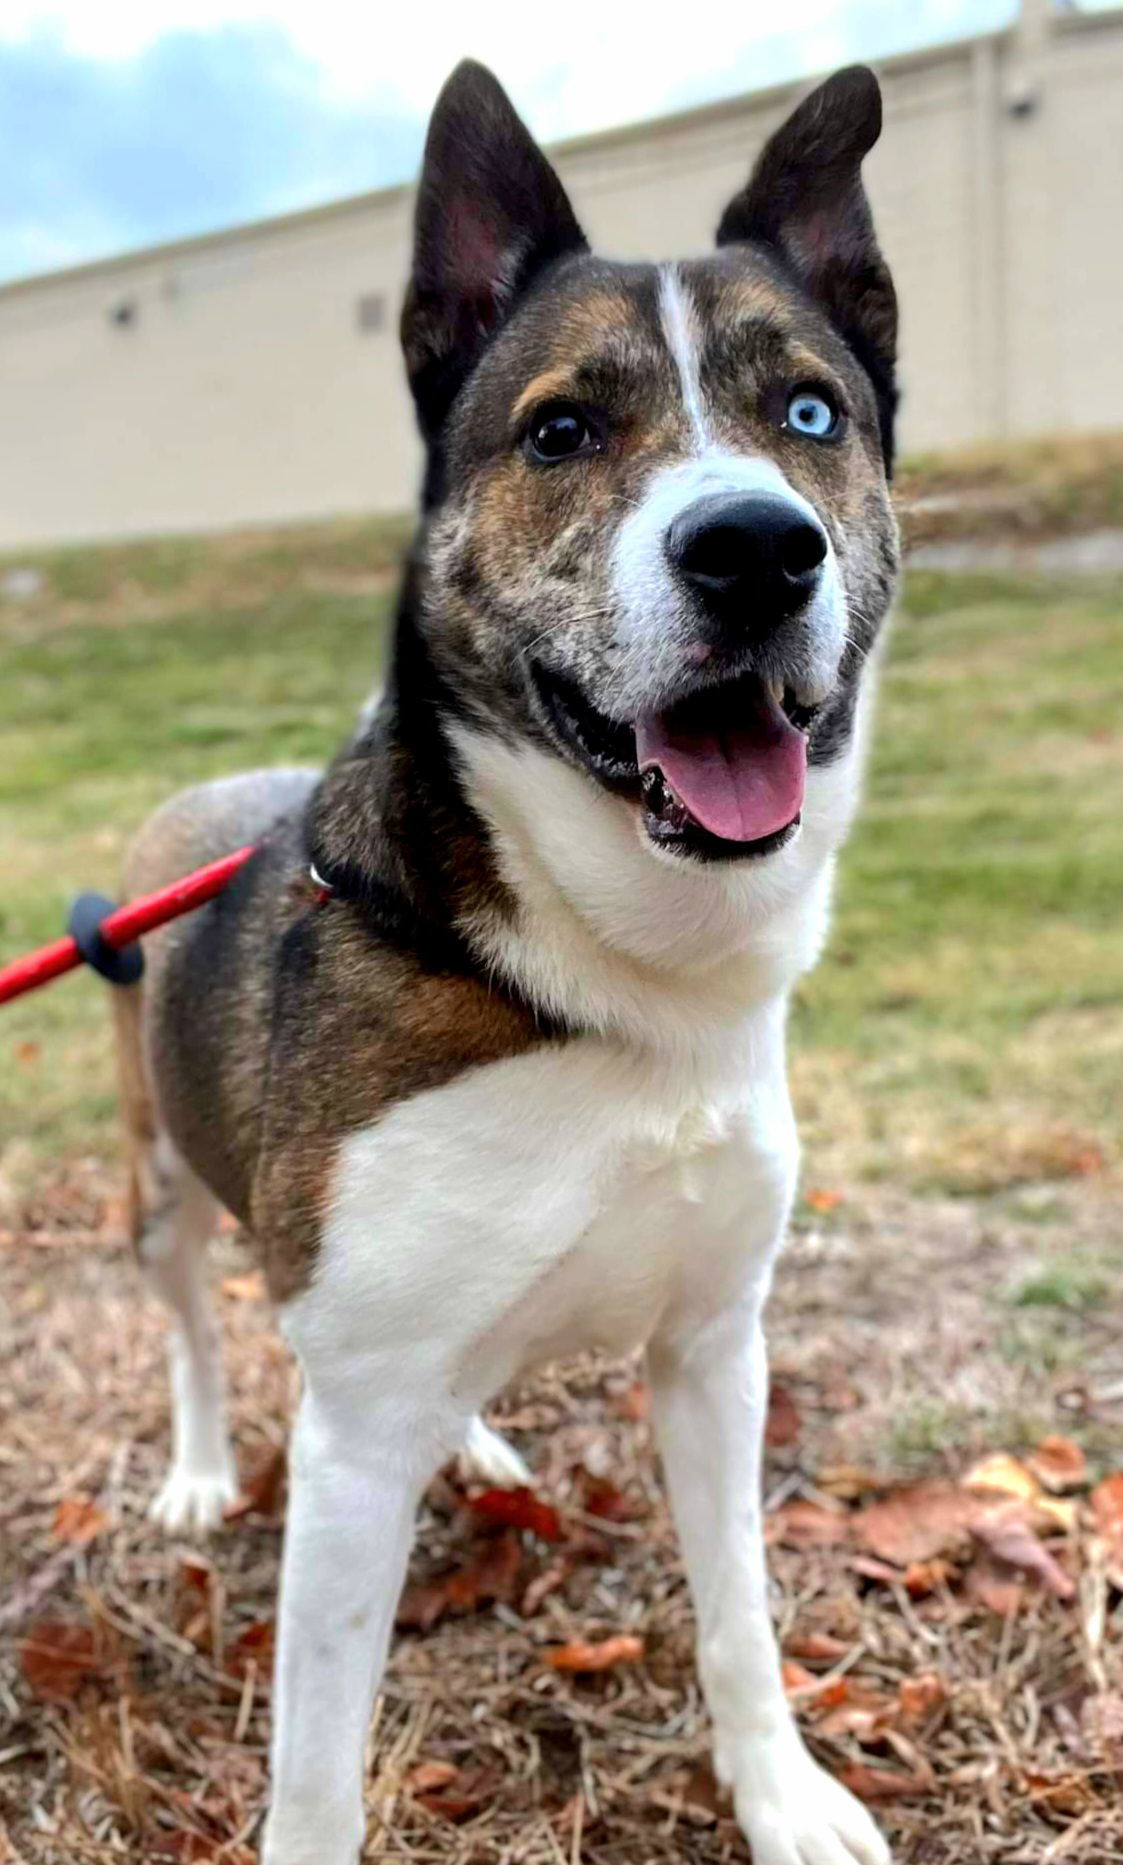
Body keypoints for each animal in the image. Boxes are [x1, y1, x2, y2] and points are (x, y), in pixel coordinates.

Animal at [113, 54, 895, 1865]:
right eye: (559, 431)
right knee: (190, 1324)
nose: (756, 549)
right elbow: (315, 1769)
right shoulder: (348, 1451)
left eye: (808, 416)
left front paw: (780, 1794)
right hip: (158, 1184)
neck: (594, 982)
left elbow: (738, 1614)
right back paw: (199, 1464)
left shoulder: (712, 1350)